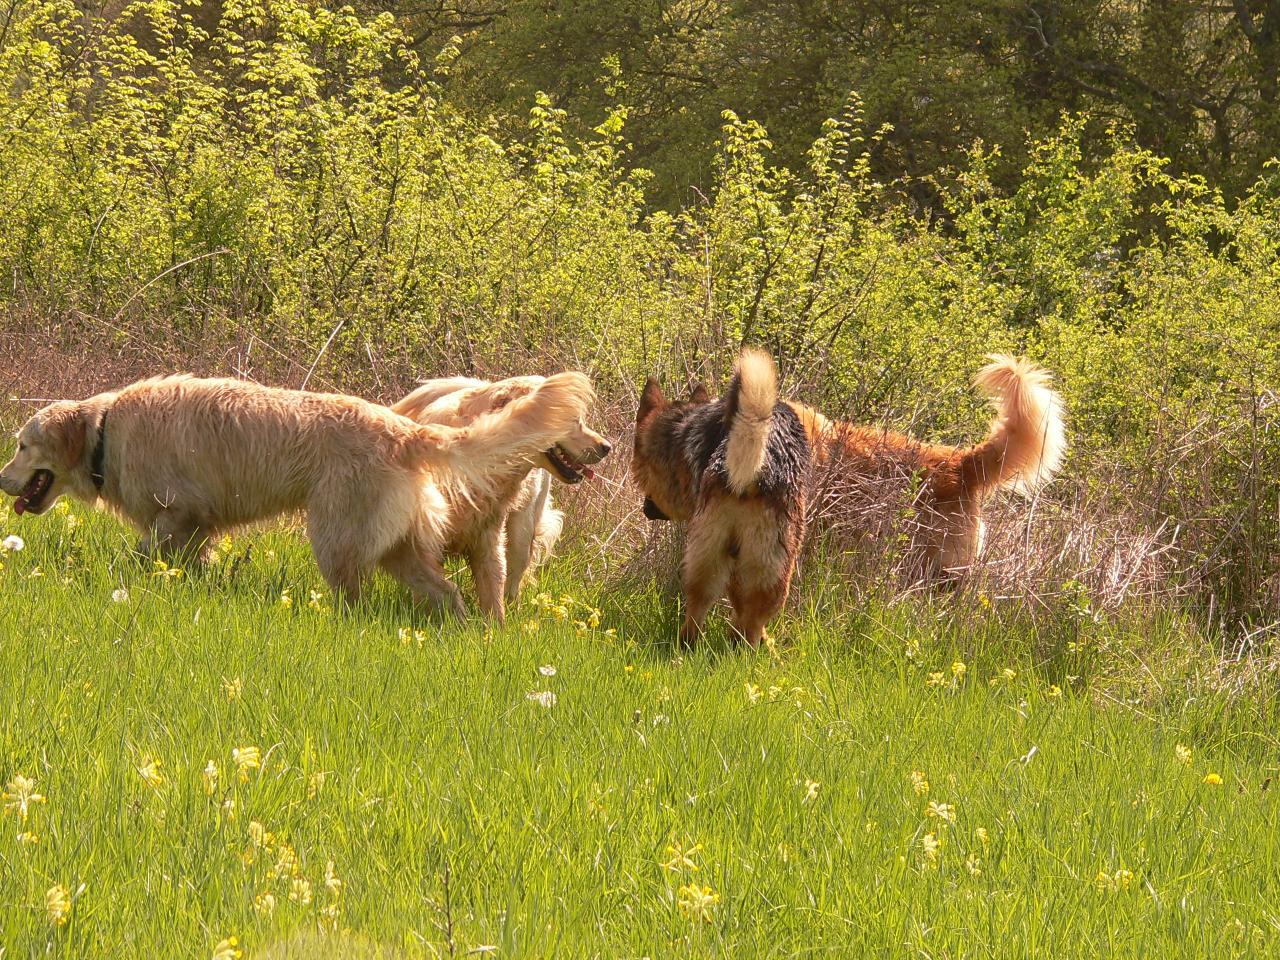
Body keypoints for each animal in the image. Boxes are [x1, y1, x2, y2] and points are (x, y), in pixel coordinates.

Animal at [2, 371, 591, 611]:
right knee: (446, 594)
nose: (1, 479)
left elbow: (140, 557)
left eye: (23, 446)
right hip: (397, 547)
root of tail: (404, 429)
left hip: (336, 536)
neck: (106, 431)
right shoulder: (197, 527)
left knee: (356, 600)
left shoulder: (175, 516)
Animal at [391, 371, 611, 619]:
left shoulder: (489, 538)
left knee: (514, 580)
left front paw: (494, 628)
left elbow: (494, 596)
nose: (607, 447)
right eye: (574, 419)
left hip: (522, 533)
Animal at [632, 345, 808, 647]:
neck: (682, 430)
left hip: (713, 556)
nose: (646, 508)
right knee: (746, 622)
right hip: (768, 567)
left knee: (702, 613)